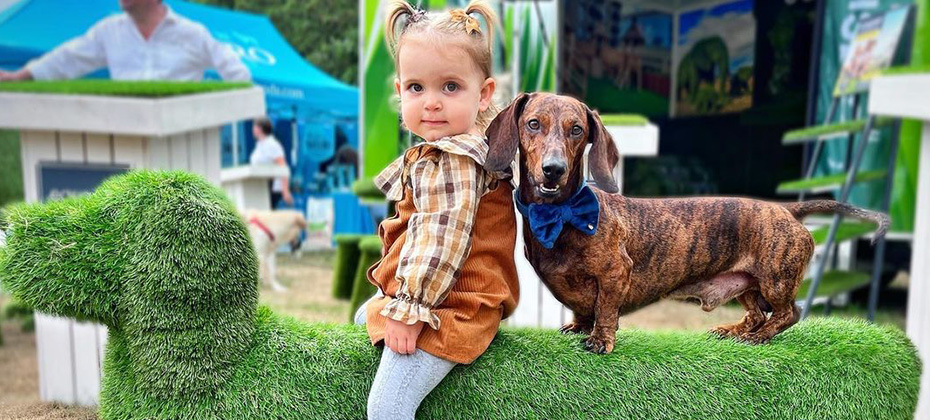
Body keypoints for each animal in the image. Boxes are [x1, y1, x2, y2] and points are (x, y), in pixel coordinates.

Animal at [482, 93, 888, 352]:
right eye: (533, 124)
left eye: (577, 130)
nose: (553, 170)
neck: (560, 213)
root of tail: (787, 210)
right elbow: (584, 308)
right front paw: (580, 326)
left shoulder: (616, 272)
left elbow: (605, 309)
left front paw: (600, 339)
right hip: (747, 284)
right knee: (757, 313)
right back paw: (734, 330)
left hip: (775, 279)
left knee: (789, 314)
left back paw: (756, 338)